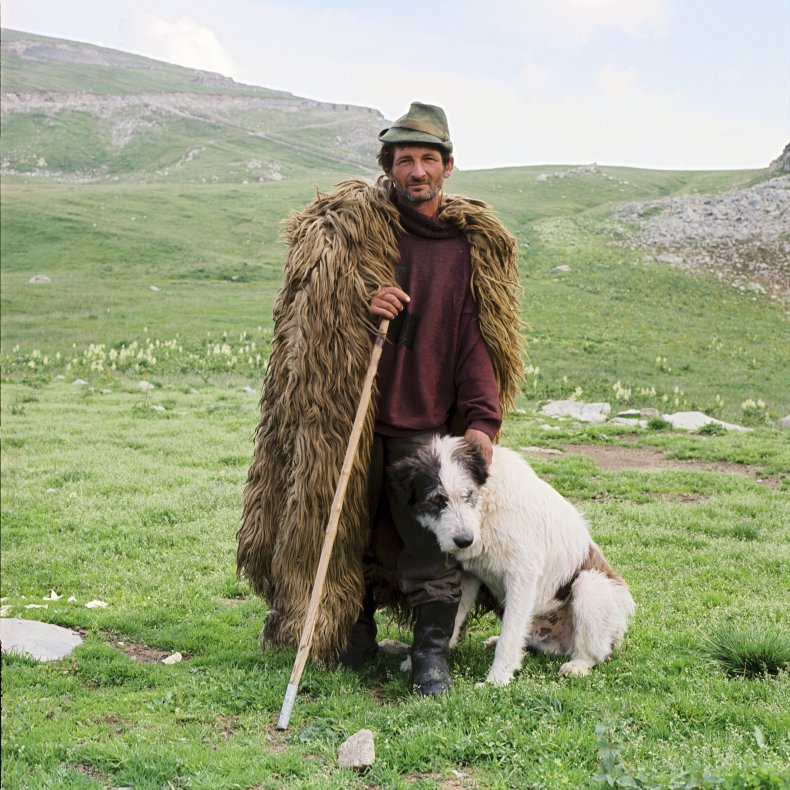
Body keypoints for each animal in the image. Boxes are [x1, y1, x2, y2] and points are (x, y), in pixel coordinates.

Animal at [390, 436, 636, 688]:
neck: (486, 510)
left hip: (590, 584)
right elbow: (452, 617)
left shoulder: (522, 576)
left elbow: (509, 637)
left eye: (468, 495)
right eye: (437, 500)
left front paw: (496, 680)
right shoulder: (469, 575)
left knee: (595, 652)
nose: (464, 540)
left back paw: (578, 665)